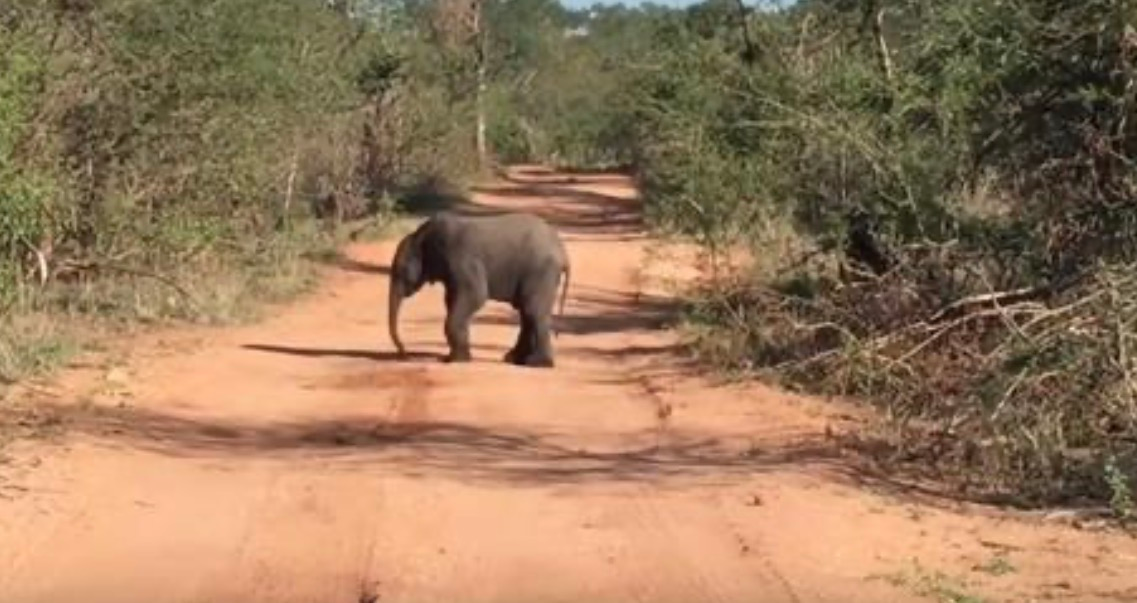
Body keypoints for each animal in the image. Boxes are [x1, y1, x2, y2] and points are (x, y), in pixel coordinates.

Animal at [387, 210, 571, 368]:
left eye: (401, 271)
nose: (405, 354)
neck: (421, 235)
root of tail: (562, 251)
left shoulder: (461, 258)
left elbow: (475, 296)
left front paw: (456, 360)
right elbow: (453, 300)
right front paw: (453, 358)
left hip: (541, 271)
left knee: (533, 311)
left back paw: (537, 364)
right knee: (527, 312)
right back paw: (515, 360)